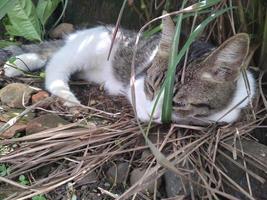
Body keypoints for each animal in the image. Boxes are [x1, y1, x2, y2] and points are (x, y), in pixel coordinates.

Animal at [2, 15, 258, 125]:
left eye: (178, 102)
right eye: (151, 87)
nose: (155, 114)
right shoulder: (137, 83)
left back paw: (16, 65)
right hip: (89, 49)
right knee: (55, 65)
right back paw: (67, 96)